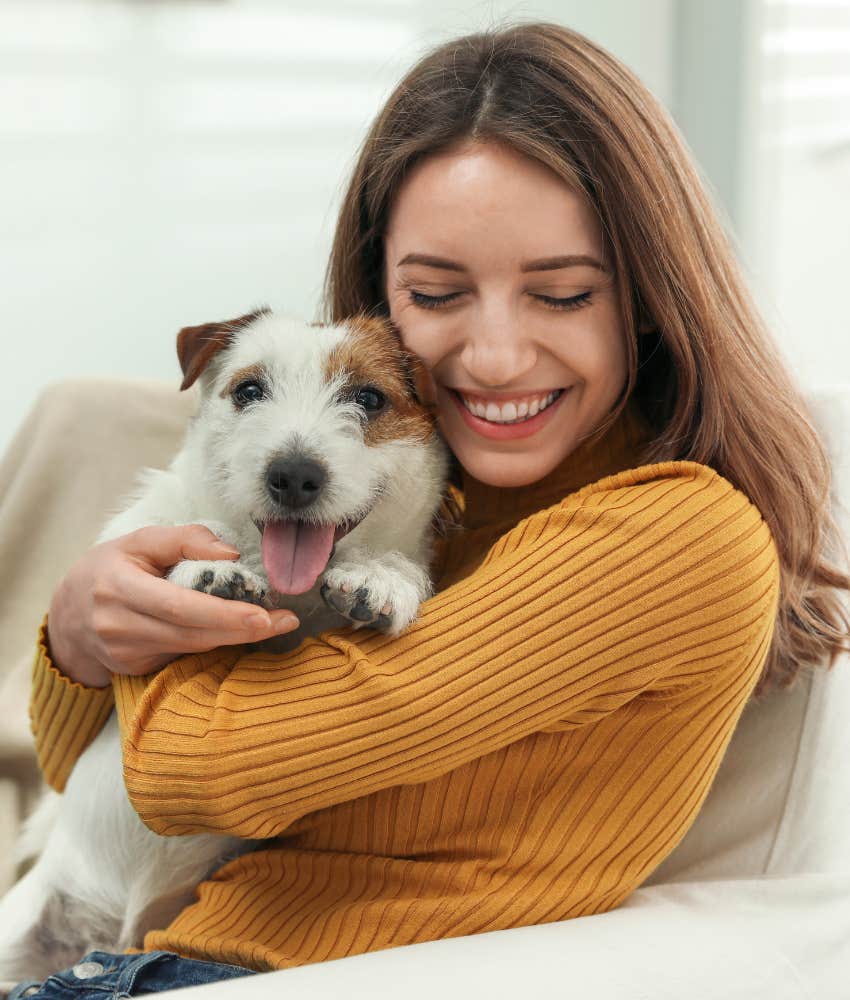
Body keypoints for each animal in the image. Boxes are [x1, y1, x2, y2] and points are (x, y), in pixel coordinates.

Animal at [0, 310, 450, 984]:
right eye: (249, 390)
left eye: (370, 399)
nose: (292, 474)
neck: (294, 594)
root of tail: (104, 935)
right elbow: (193, 528)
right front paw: (211, 567)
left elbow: (395, 564)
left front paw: (382, 577)